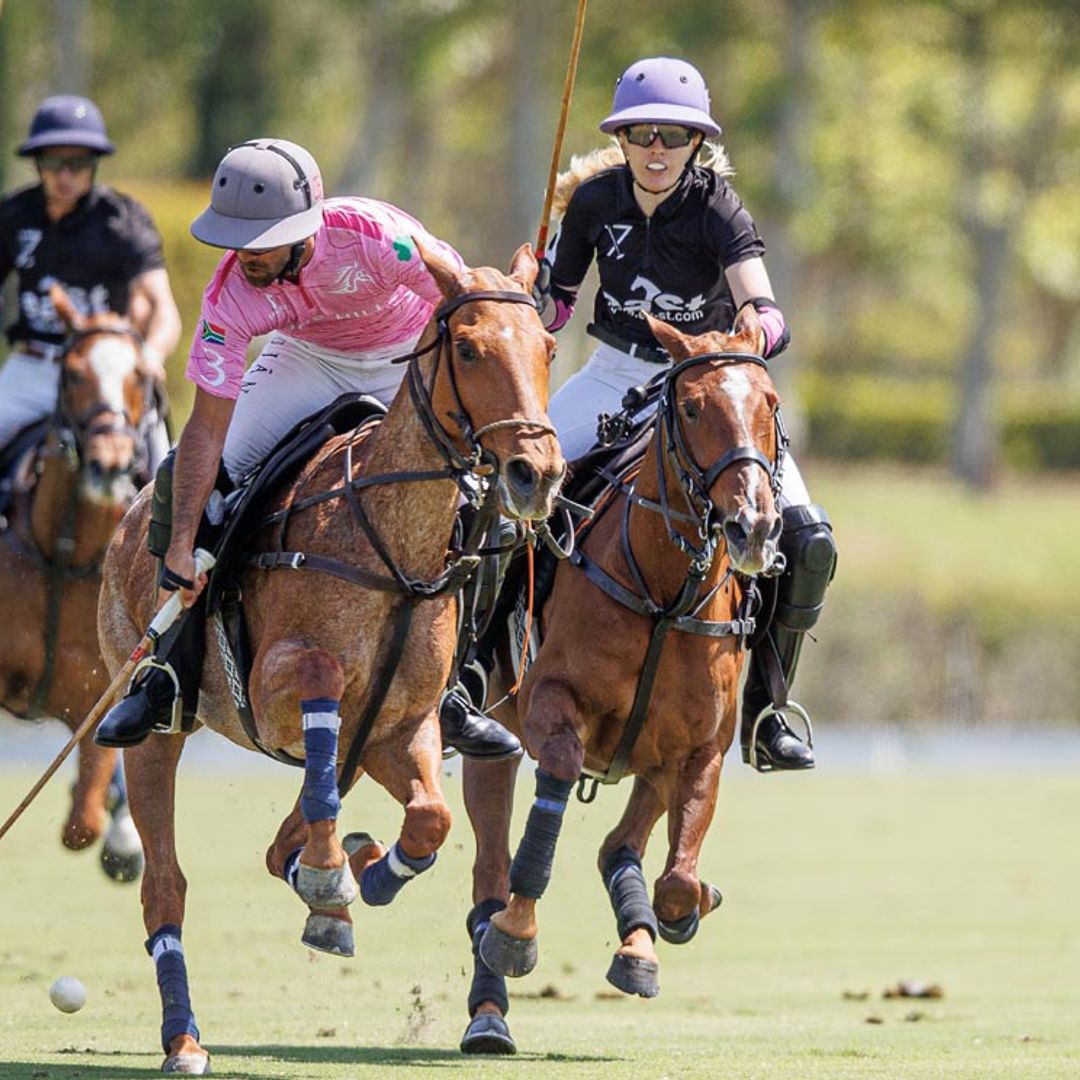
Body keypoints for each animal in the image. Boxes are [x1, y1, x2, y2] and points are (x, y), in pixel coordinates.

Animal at [0, 289, 152, 885]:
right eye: (71, 372)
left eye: (141, 375)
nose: (109, 463)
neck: (67, 550)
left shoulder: (97, 689)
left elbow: (82, 824)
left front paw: (120, 841)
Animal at [97, 240, 565, 1075]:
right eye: (469, 348)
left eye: (545, 348)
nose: (535, 474)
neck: (393, 550)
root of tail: (126, 521)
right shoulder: (276, 689)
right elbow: (317, 679)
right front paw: (331, 870)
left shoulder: (398, 728)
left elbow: (432, 819)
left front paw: (367, 874)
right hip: (155, 731)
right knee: (164, 886)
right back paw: (185, 1038)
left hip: (353, 747)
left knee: (288, 832)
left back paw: (333, 877)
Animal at [464, 306, 786, 1028]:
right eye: (692, 407)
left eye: (771, 404)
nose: (752, 527)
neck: (665, 595)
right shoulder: (553, 703)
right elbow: (544, 819)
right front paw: (518, 935)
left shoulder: (702, 747)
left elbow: (678, 881)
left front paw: (684, 910)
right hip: (496, 738)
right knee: (489, 873)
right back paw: (489, 1009)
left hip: (651, 758)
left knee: (621, 845)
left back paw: (639, 946)